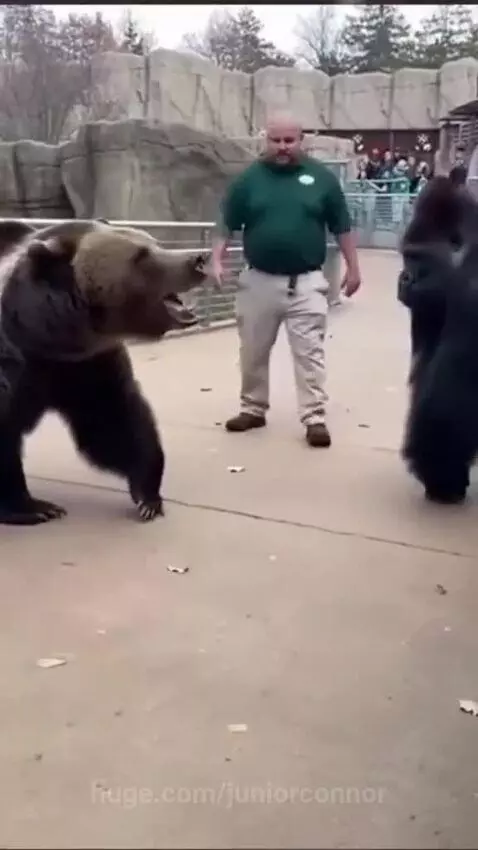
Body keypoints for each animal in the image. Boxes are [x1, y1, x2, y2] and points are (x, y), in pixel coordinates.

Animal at [0, 218, 210, 525]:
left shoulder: (84, 364)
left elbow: (111, 419)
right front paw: (35, 507)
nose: (198, 259)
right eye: (141, 255)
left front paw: (148, 496)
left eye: (154, 241)